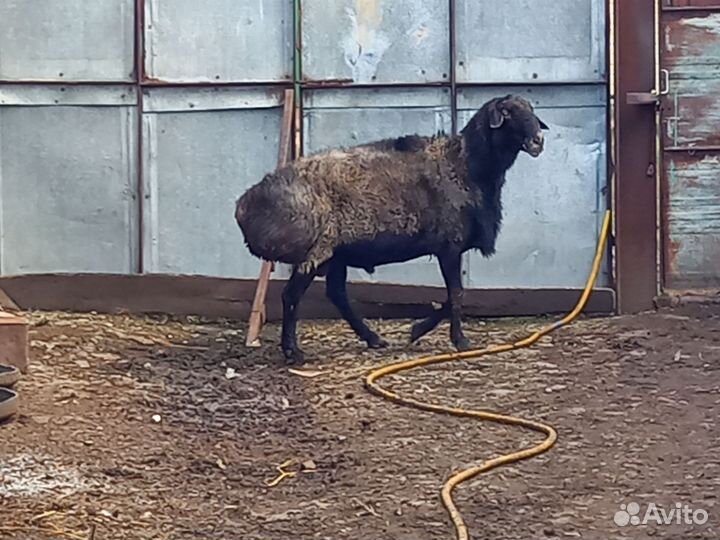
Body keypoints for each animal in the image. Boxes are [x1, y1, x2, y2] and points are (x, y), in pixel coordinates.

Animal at [235, 94, 548, 364]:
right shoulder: (449, 245)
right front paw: (459, 341)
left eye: (532, 111)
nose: (538, 140)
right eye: (508, 113)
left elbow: (451, 296)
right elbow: (457, 294)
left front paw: (417, 331)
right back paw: (293, 352)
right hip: (315, 252)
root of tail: (244, 204)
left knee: (336, 294)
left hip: (336, 254)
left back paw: (373, 338)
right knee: (291, 297)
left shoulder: (449, 248)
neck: (466, 165)